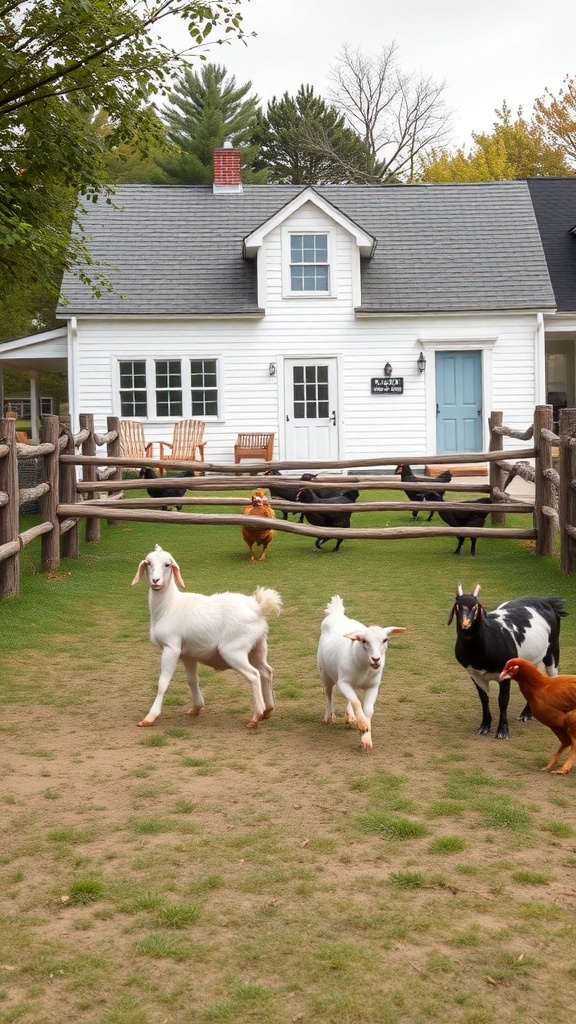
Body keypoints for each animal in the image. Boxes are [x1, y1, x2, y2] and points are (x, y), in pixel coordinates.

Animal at [132, 545, 283, 728]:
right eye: (148, 563)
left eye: (167, 564)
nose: (155, 581)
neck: (169, 606)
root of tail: (258, 608)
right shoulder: (187, 654)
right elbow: (192, 680)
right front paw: (196, 708)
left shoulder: (171, 647)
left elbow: (163, 683)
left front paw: (150, 717)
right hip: (257, 647)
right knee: (266, 671)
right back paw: (268, 710)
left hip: (234, 650)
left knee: (254, 675)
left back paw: (256, 717)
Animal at [317, 595, 405, 749]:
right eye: (364, 641)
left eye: (385, 639)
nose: (376, 659)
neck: (364, 667)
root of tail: (336, 614)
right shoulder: (343, 682)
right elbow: (356, 701)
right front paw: (363, 725)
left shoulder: (372, 686)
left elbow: (367, 709)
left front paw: (366, 738)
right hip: (325, 673)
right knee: (329, 694)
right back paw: (329, 717)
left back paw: (351, 717)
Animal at [448, 583, 567, 739]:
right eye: (457, 605)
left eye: (476, 606)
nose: (466, 623)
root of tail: (546, 601)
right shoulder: (474, 674)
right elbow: (484, 698)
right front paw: (484, 726)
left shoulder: (504, 673)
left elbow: (503, 700)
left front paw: (502, 731)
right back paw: (526, 714)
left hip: (553, 651)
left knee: (553, 675)